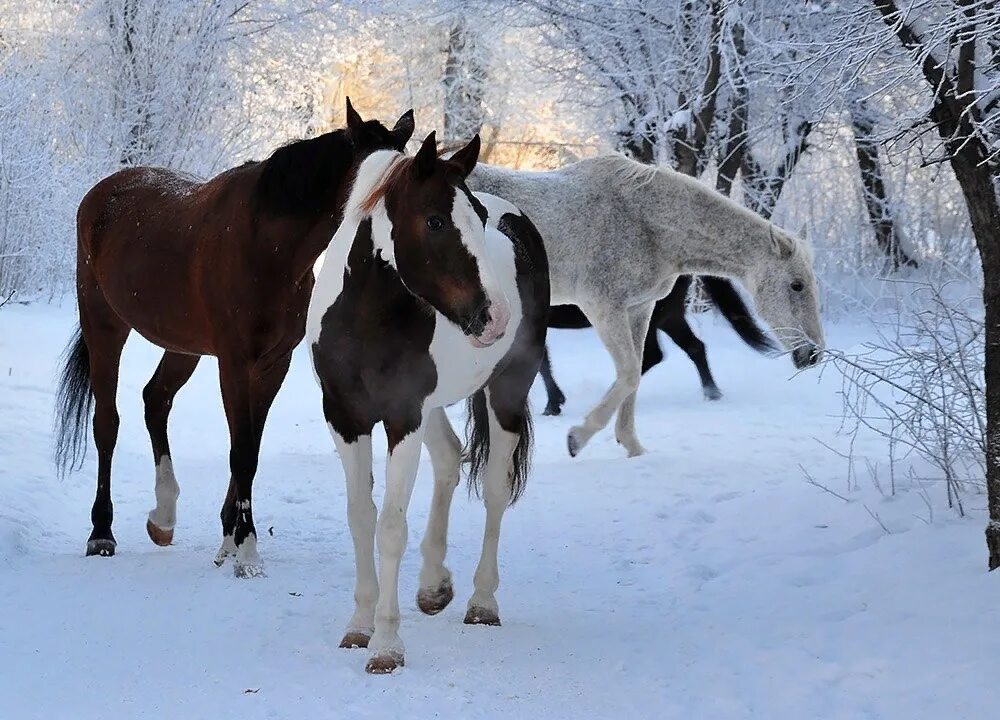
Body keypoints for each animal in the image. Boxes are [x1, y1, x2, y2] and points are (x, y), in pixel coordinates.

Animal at [55, 98, 414, 576]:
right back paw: (101, 532)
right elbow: (240, 450)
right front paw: (246, 549)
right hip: (104, 327)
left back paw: (163, 517)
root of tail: (100, 194)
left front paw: (230, 539)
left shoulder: (273, 364)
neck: (269, 246)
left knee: (156, 400)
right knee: (106, 423)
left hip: (182, 345)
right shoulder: (234, 363)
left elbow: (251, 449)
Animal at [308, 131, 552, 676]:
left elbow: (390, 526)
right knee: (448, 458)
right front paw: (360, 625)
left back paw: (482, 602)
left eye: (476, 216)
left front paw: (386, 645)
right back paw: (434, 586)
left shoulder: (403, 418)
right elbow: (361, 516)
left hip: (506, 391)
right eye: (436, 220)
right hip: (435, 406)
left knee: (495, 489)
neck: (364, 319)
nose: (495, 317)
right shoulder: (345, 418)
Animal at [536, 274, 776, 416]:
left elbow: (541, 361)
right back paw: (712, 393)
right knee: (695, 347)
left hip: (650, 317)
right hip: (669, 317)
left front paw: (552, 405)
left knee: (653, 355)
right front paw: (555, 403)